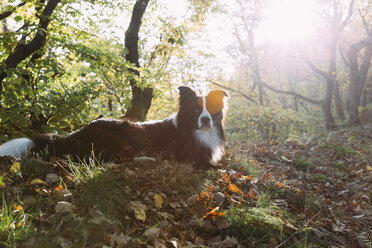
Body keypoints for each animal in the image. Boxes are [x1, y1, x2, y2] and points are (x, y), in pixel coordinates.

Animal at [0, 86, 228, 170]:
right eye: (195, 109)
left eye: (211, 110)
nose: (206, 120)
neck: (196, 130)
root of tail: (72, 136)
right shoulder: (192, 158)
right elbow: (216, 166)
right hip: (126, 132)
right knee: (116, 158)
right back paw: (148, 159)